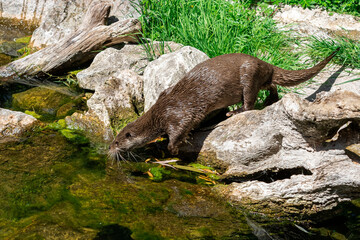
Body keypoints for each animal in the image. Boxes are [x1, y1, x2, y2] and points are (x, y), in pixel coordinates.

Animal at [108, 48, 338, 157]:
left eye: (118, 141)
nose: (109, 148)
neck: (159, 113)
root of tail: (264, 63)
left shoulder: (177, 115)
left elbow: (179, 132)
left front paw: (174, 149)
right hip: (261, 76)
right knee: (272, 85)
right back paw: (270, 99)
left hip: (249, 74)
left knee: (250, 102)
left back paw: (234, 112)